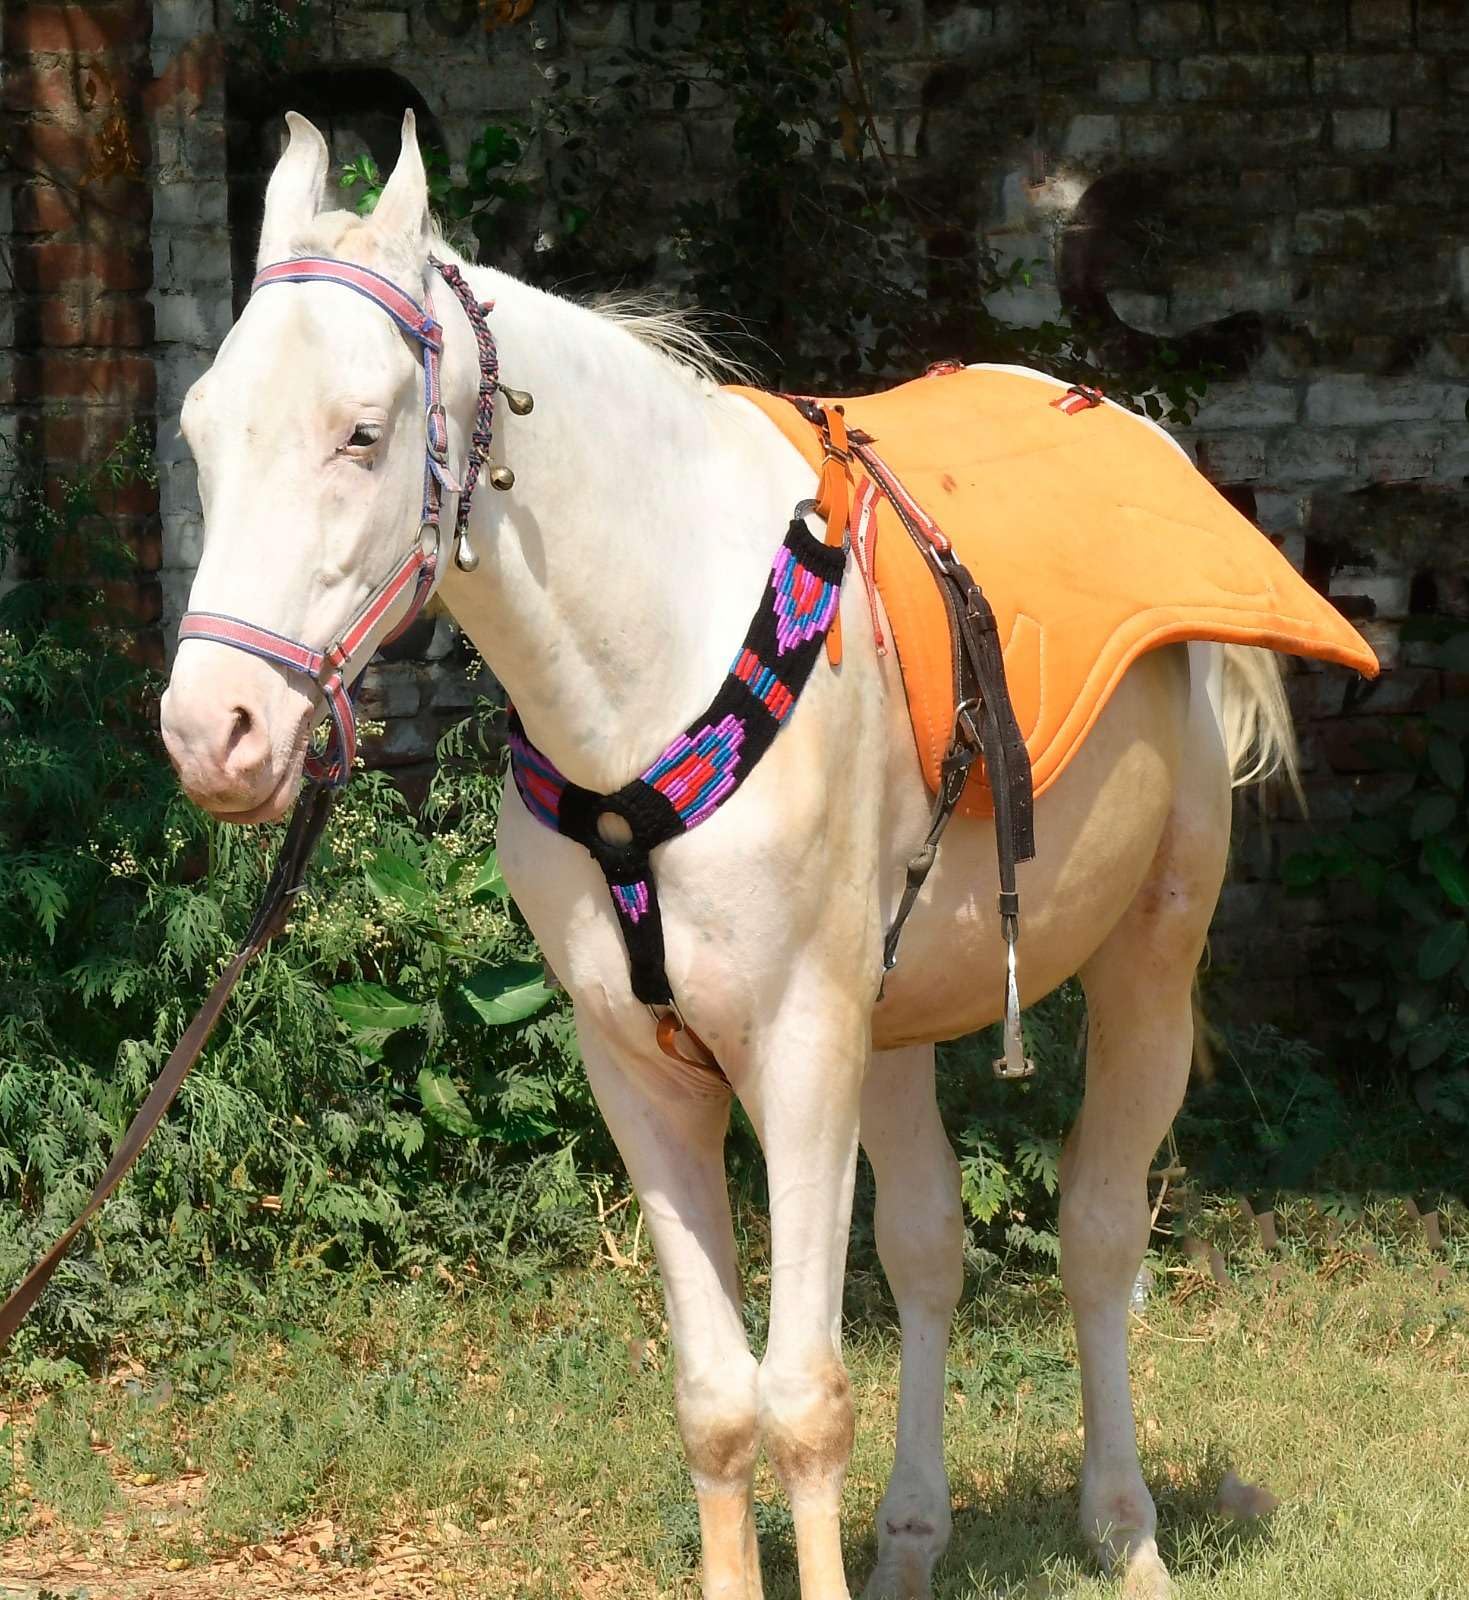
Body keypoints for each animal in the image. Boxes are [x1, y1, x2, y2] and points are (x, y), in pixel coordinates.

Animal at [161, 111, 1302, 1600]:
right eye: (199, 431)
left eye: (362, 433)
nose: (213, 729)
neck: (660, 654)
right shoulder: (640, 1067)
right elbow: (716, 1403)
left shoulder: (799, 1050)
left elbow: (802, 1397)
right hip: (893, 1025)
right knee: (927, 1250)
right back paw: (912, 1537)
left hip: (1144, 964)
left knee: (1098, 1235)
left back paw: (1124, 1531)